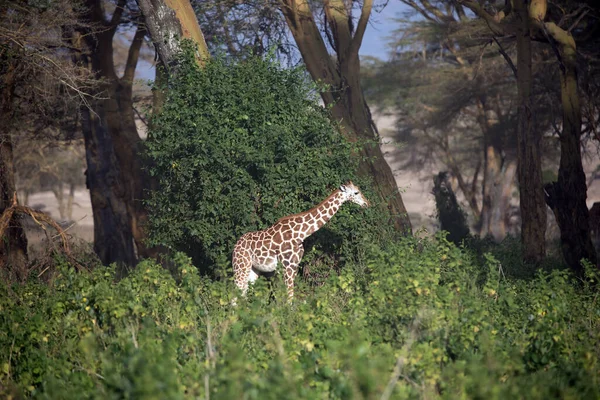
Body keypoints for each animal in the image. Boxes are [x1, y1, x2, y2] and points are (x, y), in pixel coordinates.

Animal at [231, 182, 368, 304]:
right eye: (356, 192)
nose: (367, 203)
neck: (300, 234)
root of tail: (236, 244)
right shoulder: (288, 266)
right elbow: (289, 297)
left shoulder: (293, 266)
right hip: (241, 265)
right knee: (235, 295)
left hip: (253, 270)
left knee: (243, 293)